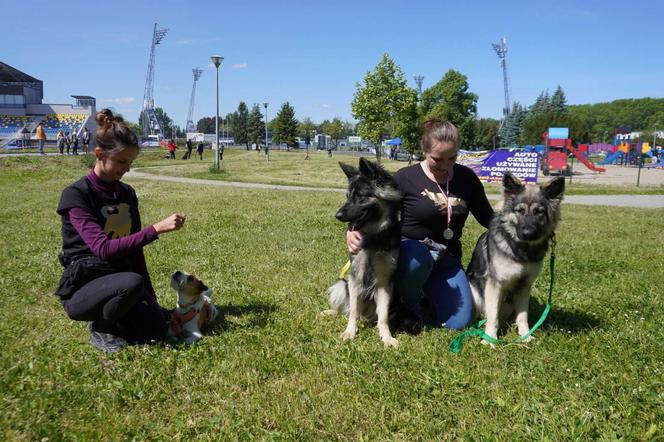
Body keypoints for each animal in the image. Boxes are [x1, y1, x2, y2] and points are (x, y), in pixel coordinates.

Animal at [324, 157, 402, 348]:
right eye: (347, 196)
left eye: (360, 195)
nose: (337, 215)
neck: (373, 237)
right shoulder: (355, 276)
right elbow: (353, 311)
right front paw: (350, 333)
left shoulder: (385, 281)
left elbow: (383, 316)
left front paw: (386, 337)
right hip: (341, 284)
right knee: (346, 310)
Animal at [466, 173, 564, 346]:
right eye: (520, 210)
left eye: (539, 212)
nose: (528, 233)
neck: (522, 251)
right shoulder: (494, 285)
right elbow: (493, 316)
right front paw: (490, 339)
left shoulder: (524, 286)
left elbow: (523, 315)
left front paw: (525, 336)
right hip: (474, 290)